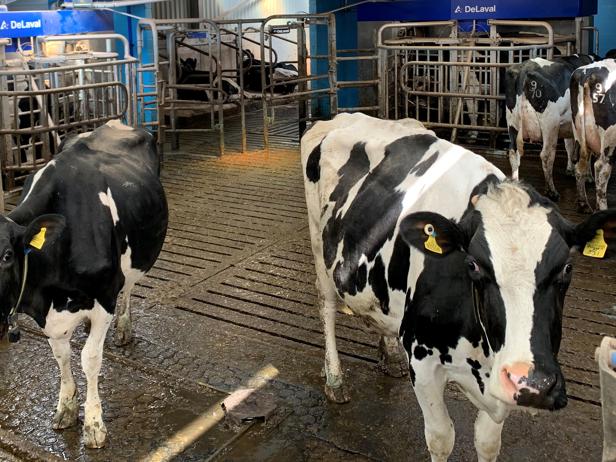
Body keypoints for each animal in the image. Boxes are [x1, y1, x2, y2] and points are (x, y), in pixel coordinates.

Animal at [0, 120, 168, 448]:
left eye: (7, 256)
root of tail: (117, 122)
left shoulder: (104, 296)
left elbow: (89, 358)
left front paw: (94, 425)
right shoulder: (50, 317)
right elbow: (61, 355)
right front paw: (66, 407)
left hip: (130, 264)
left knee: (128, 289)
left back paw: (123, 327)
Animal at [301, 112, 616, 461]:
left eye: (566, 268)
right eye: (474, 265)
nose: (533, 384)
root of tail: (342, 117)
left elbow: (487, 442)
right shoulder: (422, 359)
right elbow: (441, 438)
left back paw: (390, 356)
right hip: (319, 246)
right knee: (327, 307)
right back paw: (335, 379)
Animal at [505, 54, 598, 201]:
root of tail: (525, 69)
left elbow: (569, 146)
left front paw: (570, 170)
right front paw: (588, 177)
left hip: (512, 124)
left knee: (514, 153)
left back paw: (516, 184)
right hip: (550, 124)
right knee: (547, 155)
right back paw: (552, 191)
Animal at [571, 58, 616, 211]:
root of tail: (588, 73)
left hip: (579, 133)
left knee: (580, 166)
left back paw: (584, 204)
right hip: (610, 139)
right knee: (601, 168)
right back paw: (602, 208)